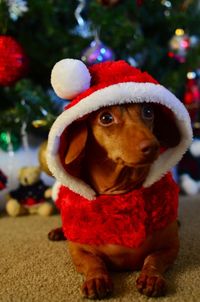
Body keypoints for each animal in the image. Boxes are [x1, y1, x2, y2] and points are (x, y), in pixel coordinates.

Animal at [48, 103, 181, 300]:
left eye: (148, 111)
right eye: (106, 118)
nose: (153, 146)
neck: (120, 194)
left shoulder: (170, 247)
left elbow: (153, 259)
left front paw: (151, 277)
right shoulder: (78, 251)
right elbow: (94, 262)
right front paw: (97, 279)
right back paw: (58, 231)